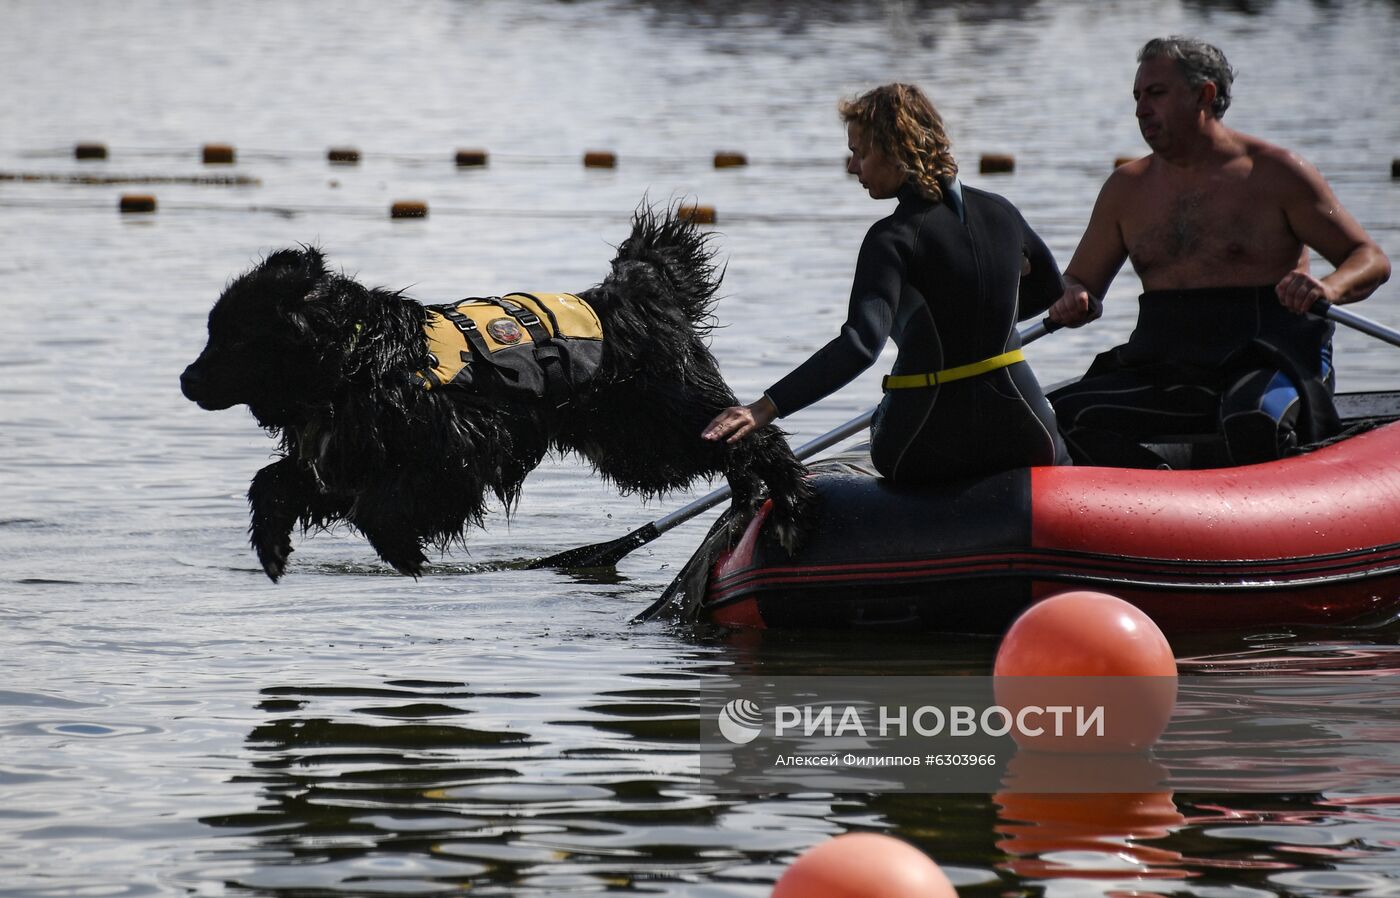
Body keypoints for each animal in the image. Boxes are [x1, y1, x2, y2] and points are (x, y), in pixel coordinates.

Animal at [179, 207, 812, 577]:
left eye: (231, 338)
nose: (185, 380)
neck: (355, 360)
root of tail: (635, 288)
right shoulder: (351, 451)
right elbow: (280, 480)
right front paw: (271, 545)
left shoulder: (463, 446)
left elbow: (381, 505)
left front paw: (403, 551)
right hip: (631, 441)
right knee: (729, 445)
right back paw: (746, 497)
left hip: (653, 423)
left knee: (754, 433)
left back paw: (782, 501)